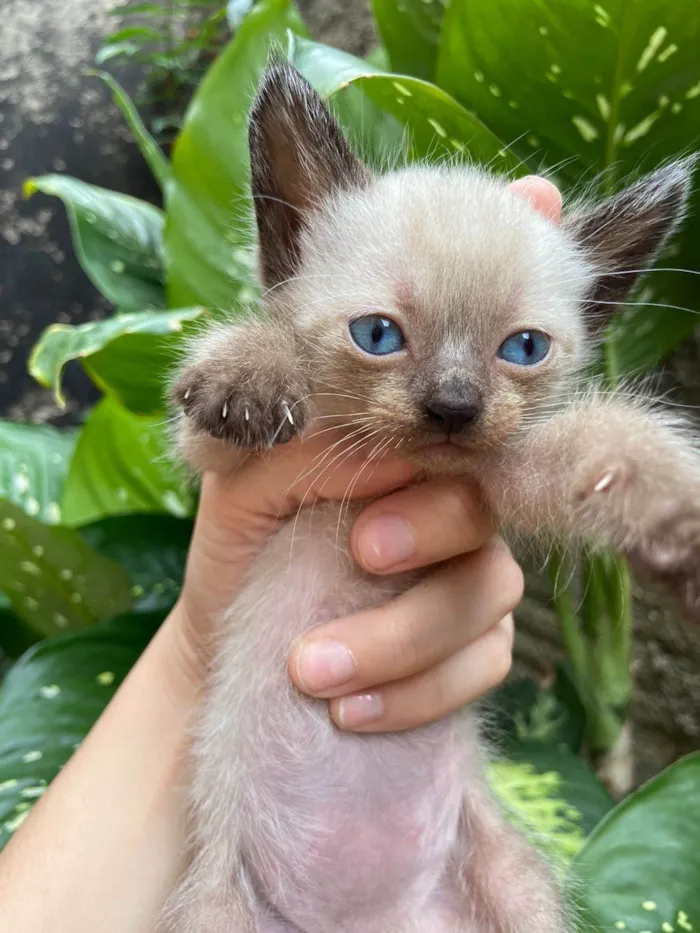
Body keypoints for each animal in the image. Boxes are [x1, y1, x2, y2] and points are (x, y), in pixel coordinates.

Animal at [165, 63, 700, 932]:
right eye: (378, 335)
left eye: (523, 348)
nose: (454, 405)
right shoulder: (218, 458)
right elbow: (239, 385)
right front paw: (256, 369)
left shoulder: (510, 474)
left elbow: (612, 447)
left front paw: (680, 524)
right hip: (218, 909)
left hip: (516, 883)